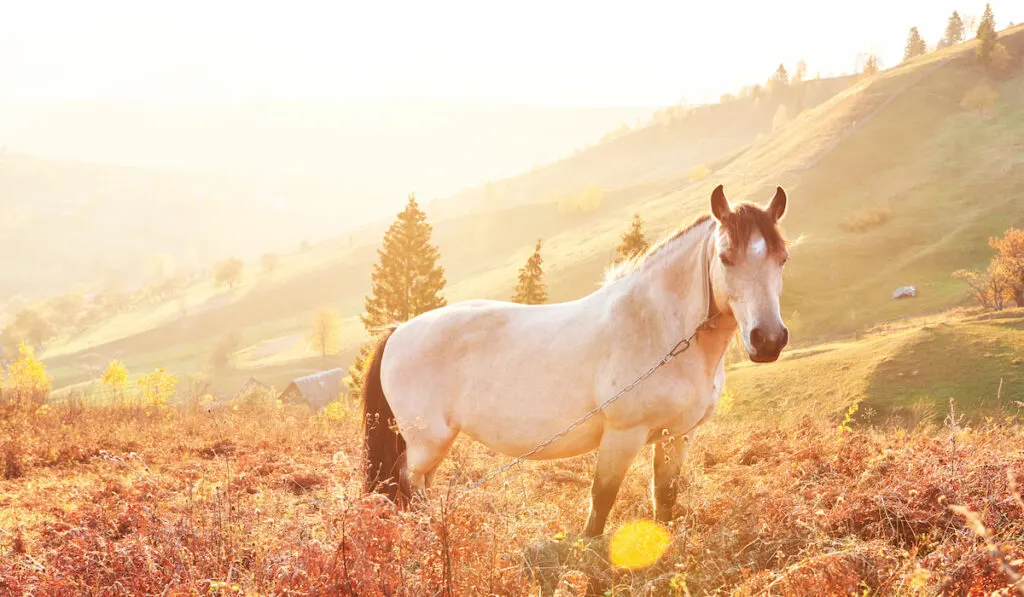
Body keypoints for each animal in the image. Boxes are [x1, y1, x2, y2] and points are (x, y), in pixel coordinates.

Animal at [360, 183, 790, 536]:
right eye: (726, 257)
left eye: (782, 258)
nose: (768, 340)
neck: (656, 326)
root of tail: (399, 331)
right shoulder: (621, 436)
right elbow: (601, 504)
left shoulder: (677, 436)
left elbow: (664, 500)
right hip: (425, 444)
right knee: (408, 487)